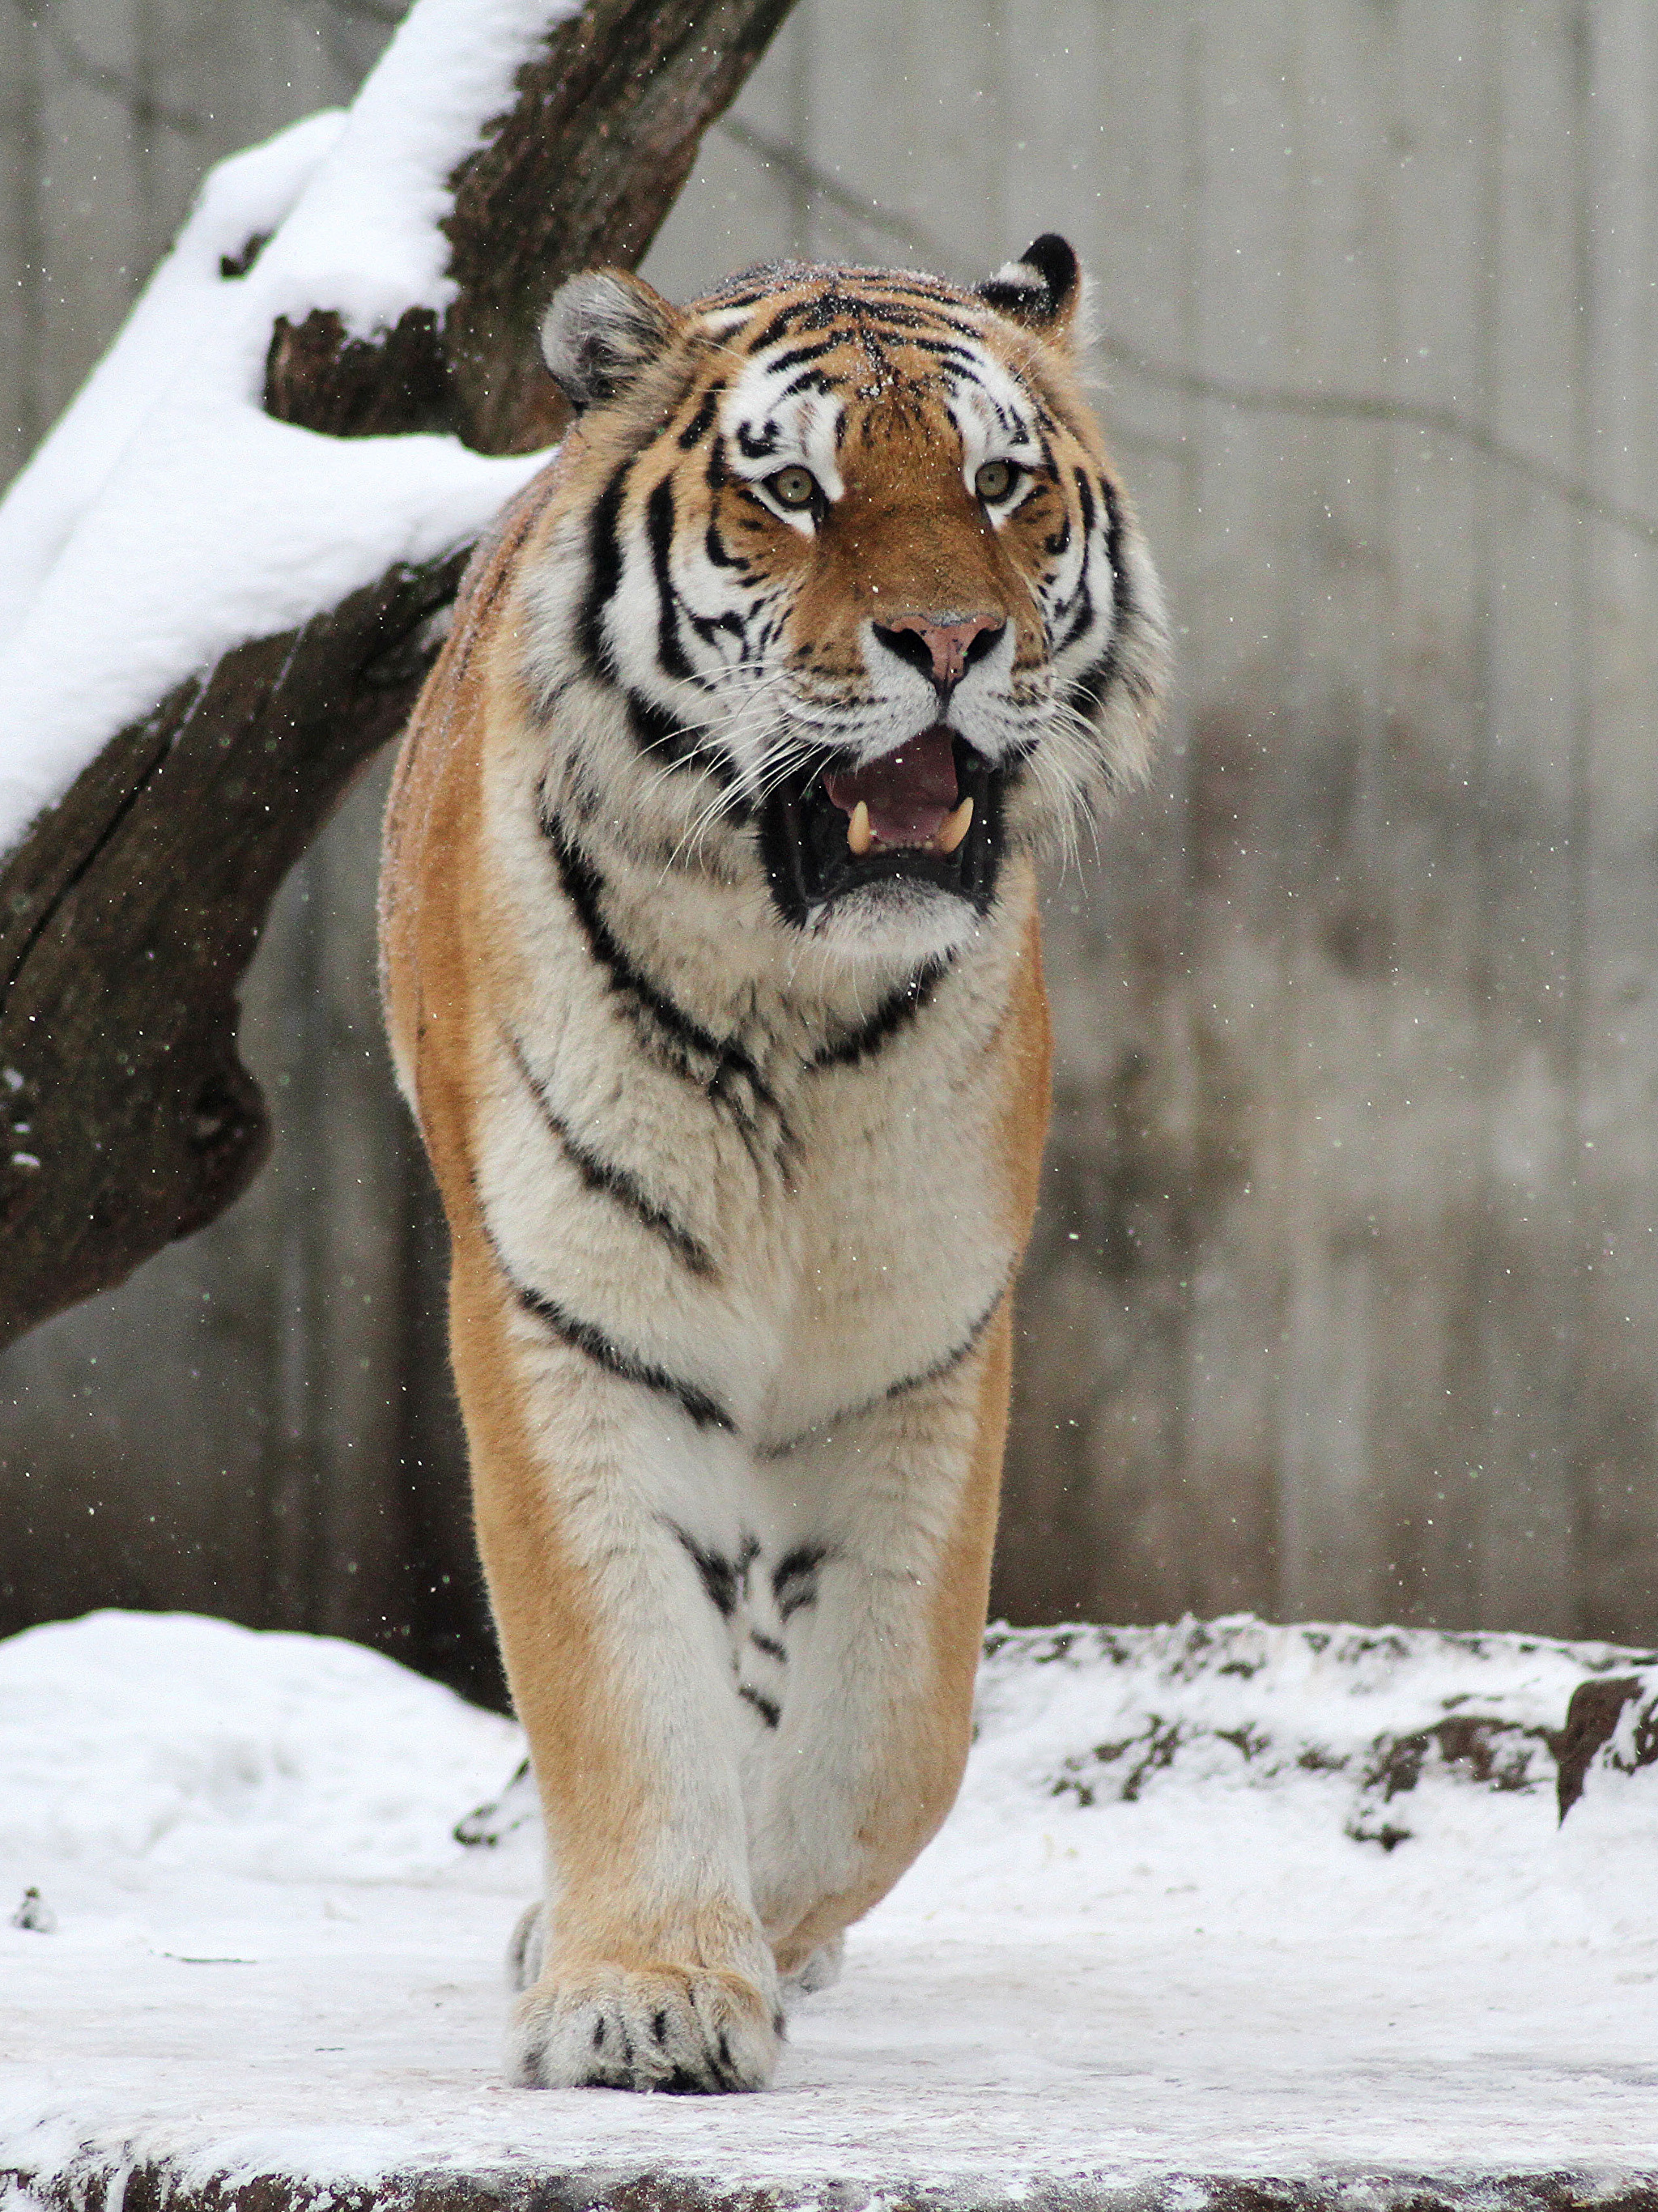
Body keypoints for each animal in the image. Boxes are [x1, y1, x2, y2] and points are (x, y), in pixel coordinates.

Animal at [380, 237, 1167, 2088]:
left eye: (998, 483)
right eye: (794, 491)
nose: (949, 637)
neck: (787, 999)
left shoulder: (923, 1350)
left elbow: (891, 1741)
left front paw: (752, 1929)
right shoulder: (565, 1321)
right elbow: (617, 1678)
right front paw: (643, 1991)